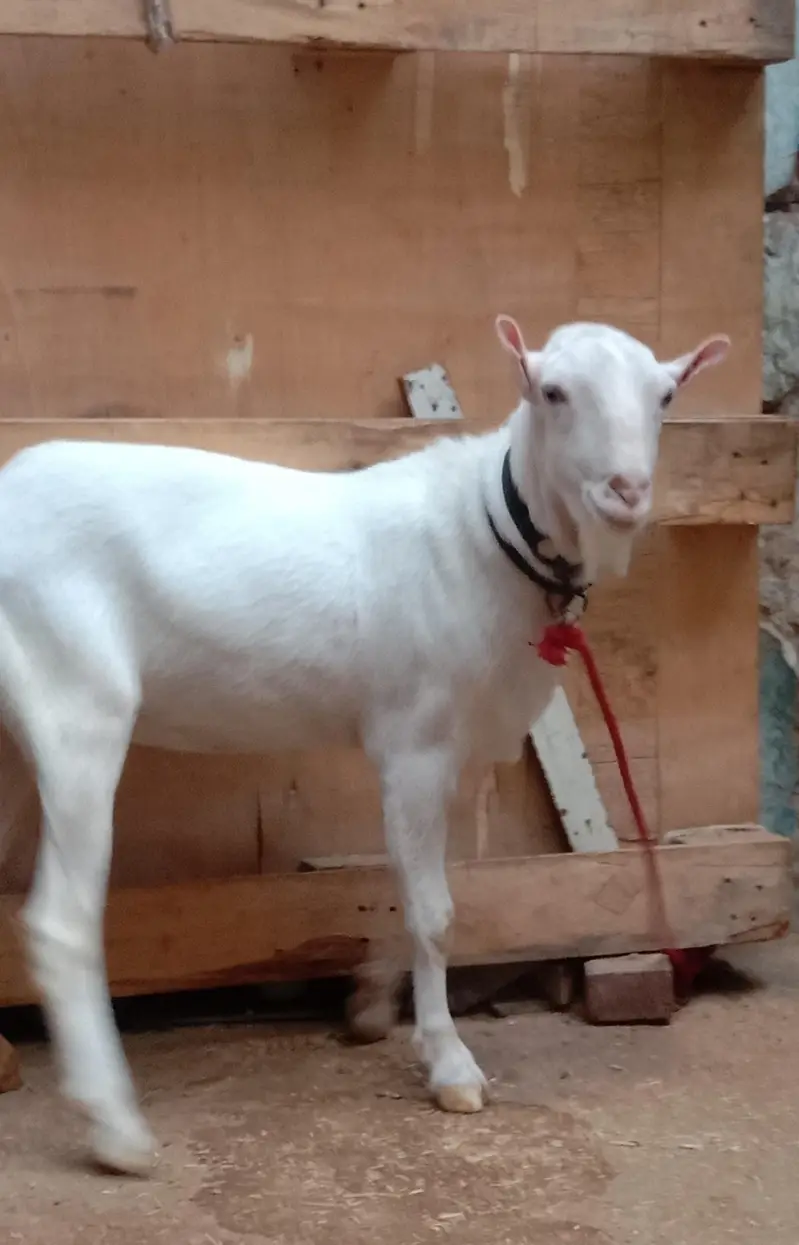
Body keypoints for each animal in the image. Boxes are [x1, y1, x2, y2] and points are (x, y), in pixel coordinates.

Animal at [0, 316, 728, 1174]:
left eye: (665, 395)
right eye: (551, 390)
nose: (625, 490)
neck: (486, 531)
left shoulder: (458, 750)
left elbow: (428, 898)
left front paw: (385, 1008)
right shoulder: (413, 737)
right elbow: (435, 911)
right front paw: (450, 1064)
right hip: (77, 690)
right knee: (63, 917)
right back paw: (115, 1127)